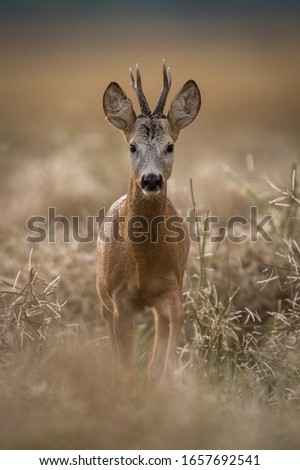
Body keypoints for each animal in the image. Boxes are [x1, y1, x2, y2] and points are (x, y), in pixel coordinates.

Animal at [97, 62, 200, 380]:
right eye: (132, 146)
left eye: (170, 146)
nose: (151, 179)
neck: (141, 263)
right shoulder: (119, 298)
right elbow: (125, 355)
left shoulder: (170, 284)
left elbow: (176, 317)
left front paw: (163, 373)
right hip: (102, 292)